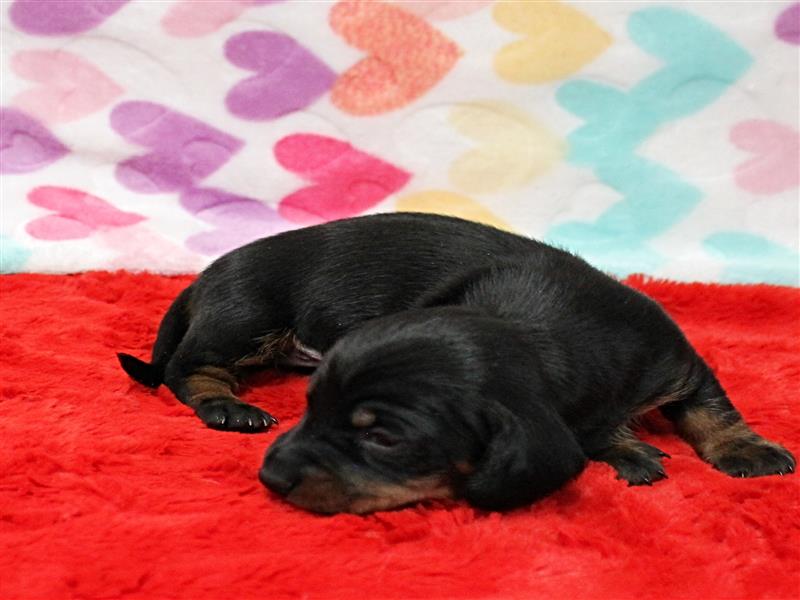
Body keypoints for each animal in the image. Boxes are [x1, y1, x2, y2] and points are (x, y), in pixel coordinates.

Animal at [119, 213, 795, 513]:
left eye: (385, 438)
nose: (271, 477)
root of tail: (204, 277)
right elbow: (601, 432)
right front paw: (629, 450)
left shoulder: (678, 360)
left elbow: (714, 409)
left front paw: (748, 450)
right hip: (247, 315)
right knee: (187, 368)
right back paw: (227, 404)